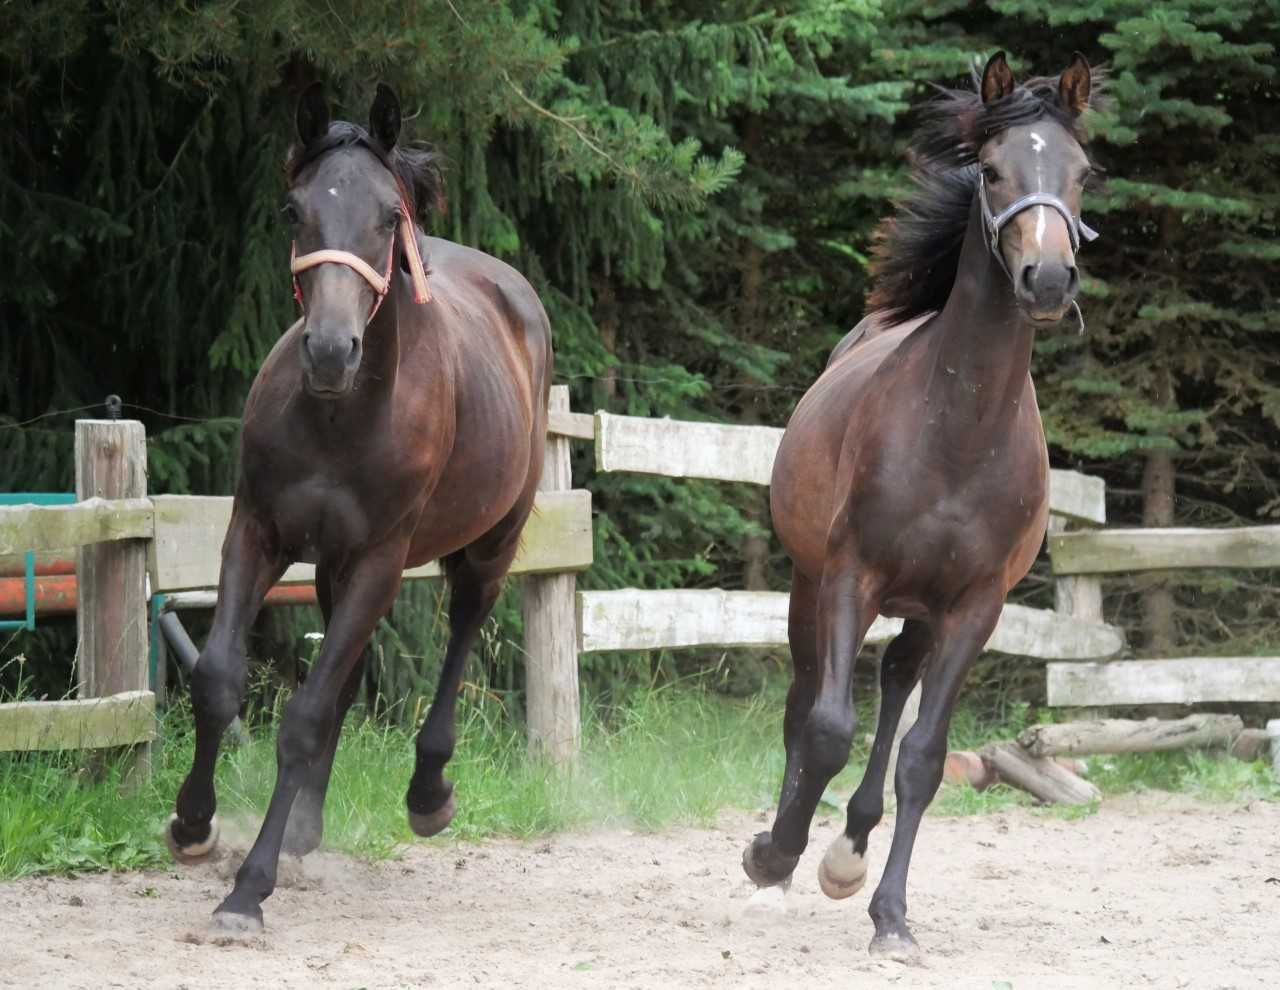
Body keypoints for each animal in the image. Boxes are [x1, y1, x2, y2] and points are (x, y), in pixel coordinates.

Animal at [165, 83, 550, 927]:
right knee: (339, 681)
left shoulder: (381, 560)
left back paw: (428, 794)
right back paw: (303, 827)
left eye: (387, 215)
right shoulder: (258, 533)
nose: (331, 351)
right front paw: (193, 825)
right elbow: (219, 680)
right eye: (293, 209)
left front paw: (249, 891)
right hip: (335, 567)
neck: (340, 420)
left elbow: (304, 719)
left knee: (461, 629)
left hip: (487, 545)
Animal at [742, 52, 1100, 957]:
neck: (958, 431)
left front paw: (890, 917)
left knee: (897, 682)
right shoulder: (849, 577)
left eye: (1082, 173)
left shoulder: (974, 607)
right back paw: (783, 862)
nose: (1049, 278)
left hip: (921, 610)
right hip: (810, 586)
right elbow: (827, 729)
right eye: (993, 169)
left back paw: (848, 852)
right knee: (805, 701)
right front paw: (773, 854)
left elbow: (925, 757)